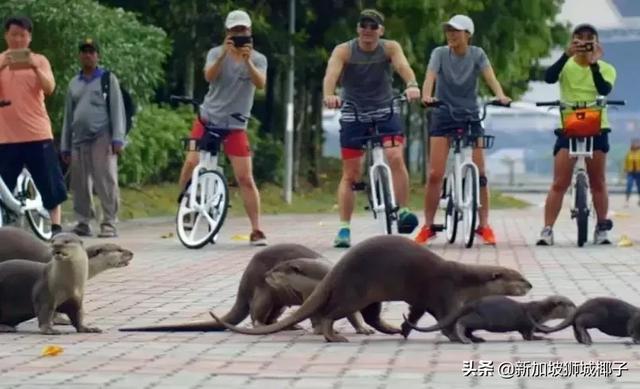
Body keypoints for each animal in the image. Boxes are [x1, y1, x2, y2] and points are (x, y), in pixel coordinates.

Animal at [209, 233, 528, 340]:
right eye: (518, 278)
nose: (530, 283)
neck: (464, 280)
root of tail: (337, 270)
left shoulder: (423, 299)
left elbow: (415, 313)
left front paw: (406, 328)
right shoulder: (445, 293)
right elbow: (446, 320)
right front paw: (460, 336)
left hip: (371, 296)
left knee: (371, 315)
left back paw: (389, 329)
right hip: (354, 292)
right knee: (331, 313)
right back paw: (334, 336)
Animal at [404, 296, 576, 342]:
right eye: (570, 304)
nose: (575, 306)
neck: (540, 310)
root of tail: (473, 303)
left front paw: (543, 333)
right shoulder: (529, 322)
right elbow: (528, 335)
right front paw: (539, 337)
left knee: (468, 328)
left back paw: (476, 339)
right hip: (482, 319)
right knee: (462, 322)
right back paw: (466, 340)